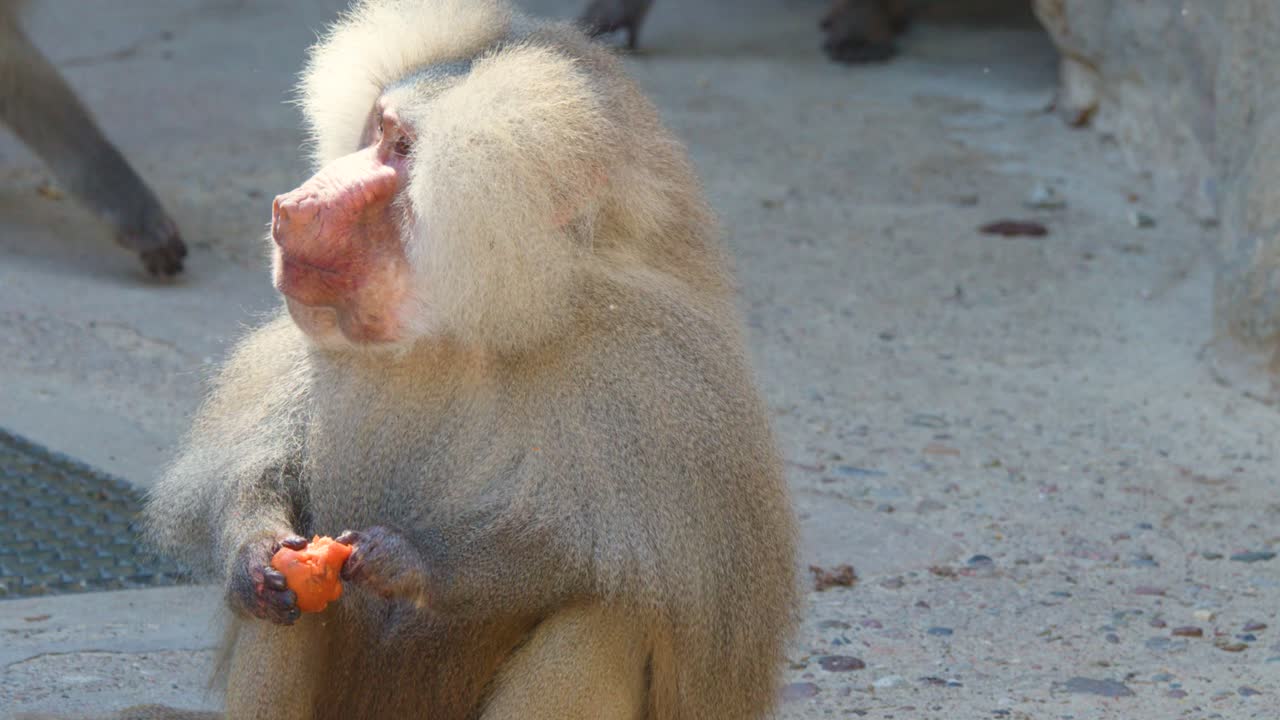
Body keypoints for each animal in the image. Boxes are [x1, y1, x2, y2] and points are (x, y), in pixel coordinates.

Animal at [141, 1, 799, 719]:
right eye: (376, 127)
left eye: (401, 148)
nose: (292, 205)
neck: (469, 325)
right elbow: (267, 471)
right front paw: (252, 551)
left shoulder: (661, 380)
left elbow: (593, 562)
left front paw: (414, 561)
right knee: (289, 612)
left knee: (607, 619)